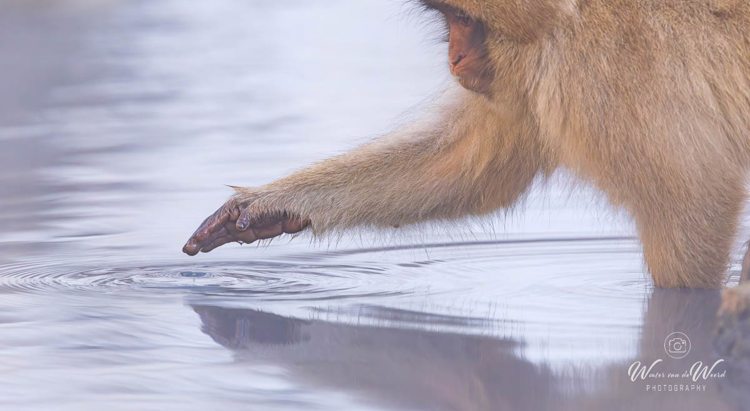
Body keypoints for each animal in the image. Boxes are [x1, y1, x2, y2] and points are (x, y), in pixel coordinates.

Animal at [183, 0, 750, 289]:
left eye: (465, 20)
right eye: (449, 18)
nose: (453, 58)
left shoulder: (602, 69)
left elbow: (695, 197)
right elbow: (470, 173)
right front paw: (262, 209)